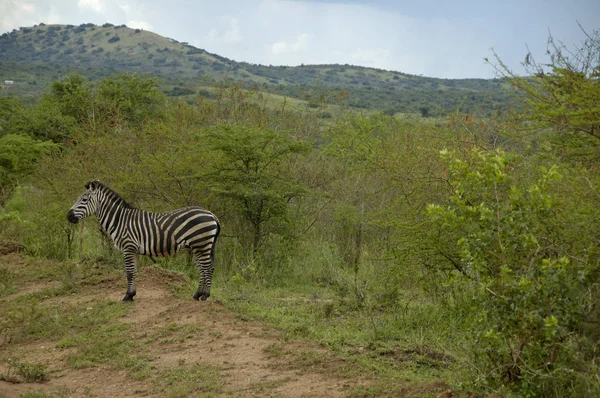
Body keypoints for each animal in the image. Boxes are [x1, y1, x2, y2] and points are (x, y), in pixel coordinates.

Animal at [67, 180, 220, 302]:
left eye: (84, 200)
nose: (68, 216)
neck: (119, 220)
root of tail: (212, 215)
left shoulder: (128, 247)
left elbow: (129, 272)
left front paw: (128, 296)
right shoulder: (133, 250)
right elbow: (134, 272)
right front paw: (132, 294)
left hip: (201, 244)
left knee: (208, 268)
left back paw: (204, 296)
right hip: (198, 247)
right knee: (204, 268)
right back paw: (197, 295)